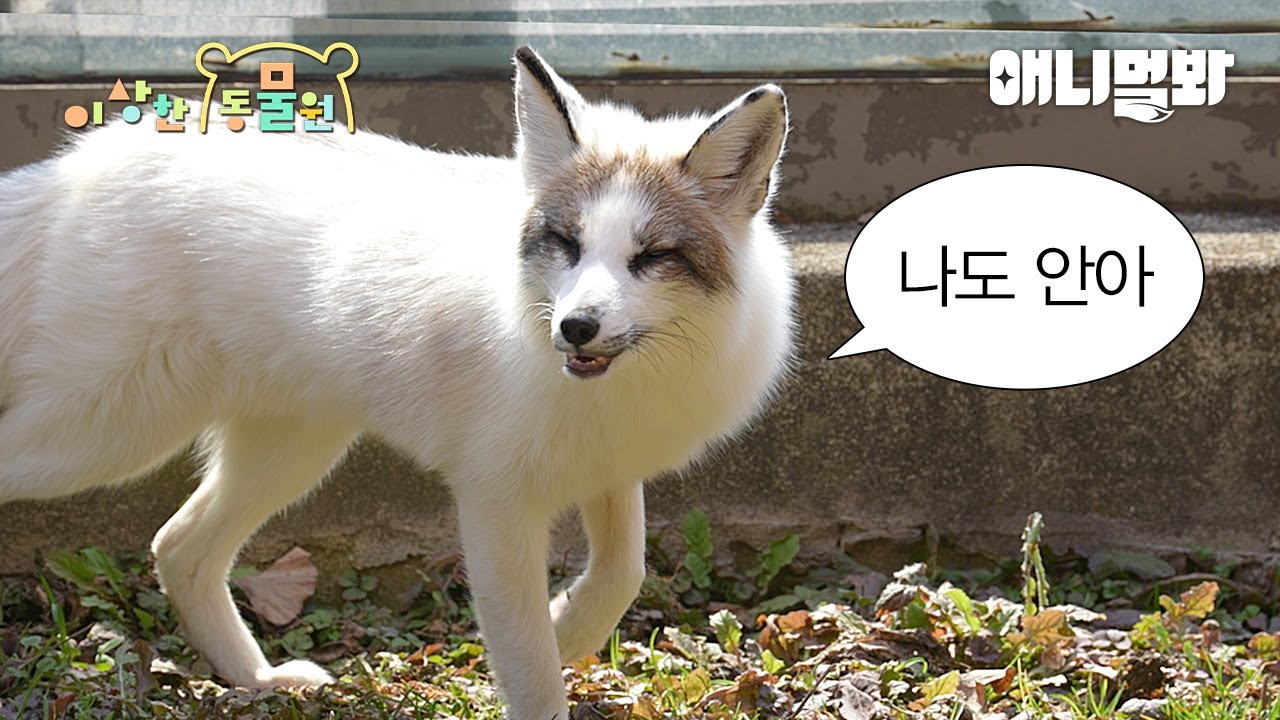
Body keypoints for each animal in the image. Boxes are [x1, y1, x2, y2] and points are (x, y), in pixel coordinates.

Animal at [0, 48, 795, 719]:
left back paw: (258, 680)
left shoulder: (605, 466)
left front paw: (569, 626)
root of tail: (90, 160)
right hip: (106, 436)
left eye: (653, 256)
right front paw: (549, 651)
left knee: (176, 547)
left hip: (287, 453)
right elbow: (531, 668)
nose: (575, 328)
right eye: (566, 243)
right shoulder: (494, 501)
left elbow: (621, 575)